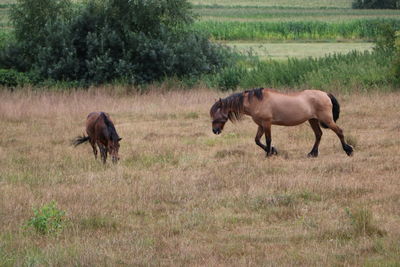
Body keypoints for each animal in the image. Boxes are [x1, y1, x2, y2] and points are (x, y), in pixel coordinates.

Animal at [209, 88, 354, 158]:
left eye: (216, 116)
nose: (215, 131)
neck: (256, 101)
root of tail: (325, 94)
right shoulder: (260, 125)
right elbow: (257, 140)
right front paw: (273, 151)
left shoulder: (267, 123)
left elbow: (268, 140)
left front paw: (269, 154)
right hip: (312, 120)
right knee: (318, 135)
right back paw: (312, 154)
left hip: (326, 120)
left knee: (339, 131)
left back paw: (348, 150)